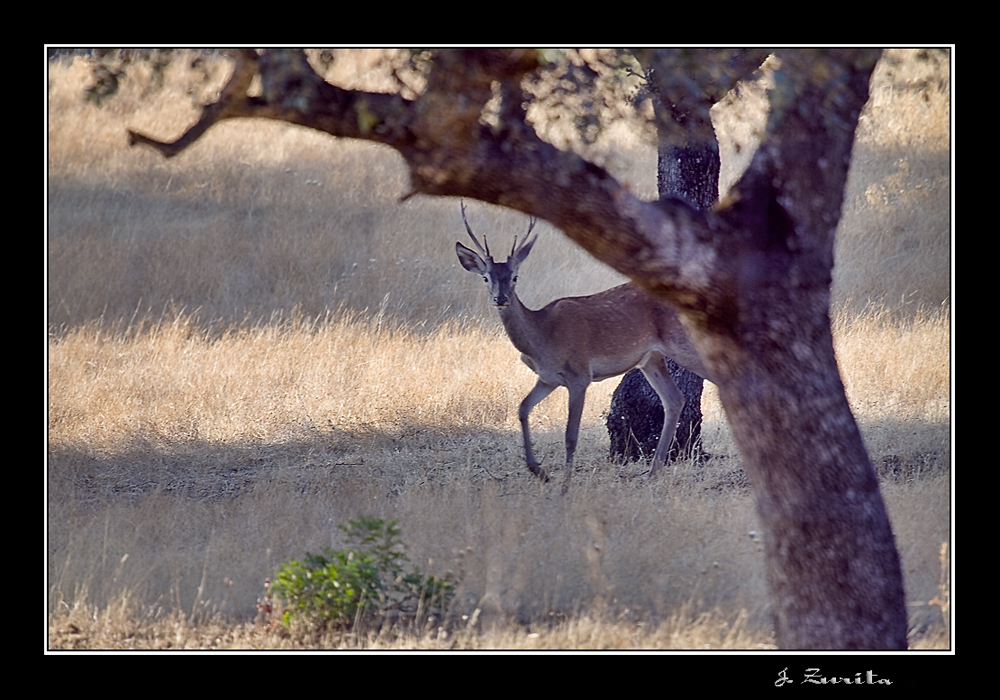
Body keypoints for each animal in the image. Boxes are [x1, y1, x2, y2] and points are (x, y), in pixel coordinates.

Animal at [458, 200, 708, 490]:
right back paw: (652, 472)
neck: (543, 337)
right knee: (674, 399)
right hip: (651, 358)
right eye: (486, 278)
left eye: (515, 277)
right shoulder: (548, 378)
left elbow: (570, 435)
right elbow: (522, 408)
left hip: (682, 343)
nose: (500, 298)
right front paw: (539, 471)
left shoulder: (579, 375)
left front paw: (564, 486)